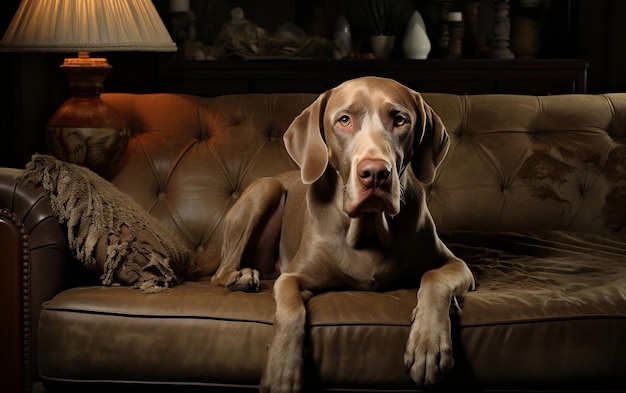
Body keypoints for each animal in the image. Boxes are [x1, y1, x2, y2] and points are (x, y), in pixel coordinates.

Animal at [208, 77, 472, 392]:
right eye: (344, 120)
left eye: (400, 120)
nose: (375, 173)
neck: (368, 229)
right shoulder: (292, 277)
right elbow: (291, 308)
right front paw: (282, 369)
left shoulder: (457, 265)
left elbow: (433, 277)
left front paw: (428, 343)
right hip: (265, 189)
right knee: (221, 273)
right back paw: (243, 277)